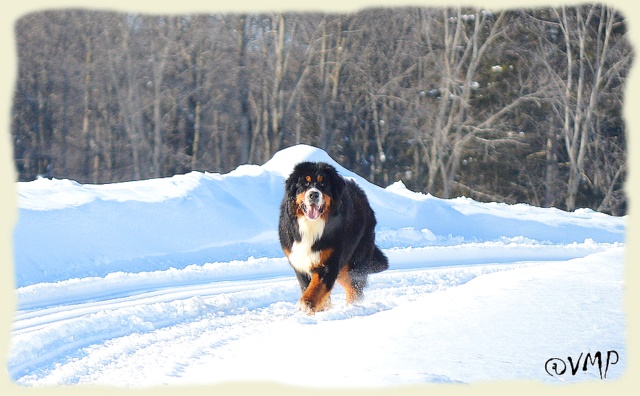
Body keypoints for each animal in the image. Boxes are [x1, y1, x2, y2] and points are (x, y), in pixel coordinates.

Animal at [278, 160, 388, 312]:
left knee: (354, 289)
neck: (311, 226)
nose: (314, 194)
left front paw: (306, 305)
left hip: (353, 263)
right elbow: (310, 288)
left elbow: (316, 288)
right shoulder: (300, 263)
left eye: (323, 184)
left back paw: (352, 307)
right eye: (305, 183)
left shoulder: (329, 262)